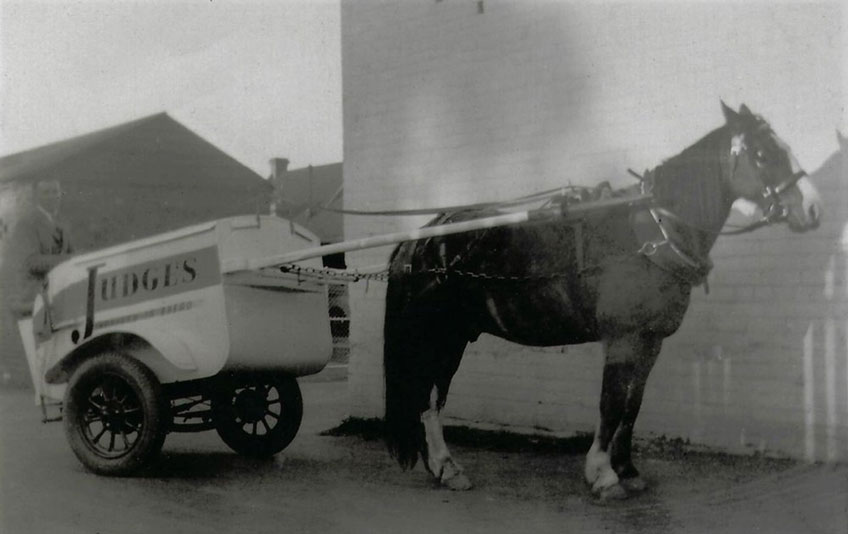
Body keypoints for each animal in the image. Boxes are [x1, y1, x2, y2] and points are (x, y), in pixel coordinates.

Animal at [382, 101, 820, 502]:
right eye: (763, 154)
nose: (813, 208)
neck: (652, 235)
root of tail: (420, 238)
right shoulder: (622, 338)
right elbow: (611, 403)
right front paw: (603, 475)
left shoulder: (650, 342)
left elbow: (632, 405)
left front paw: (627, 469)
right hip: (441, 337)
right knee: (430, 398)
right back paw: (447, 466)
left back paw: (442, 468)